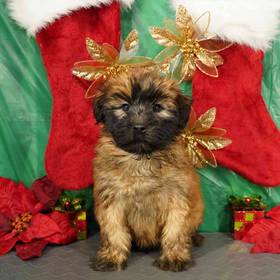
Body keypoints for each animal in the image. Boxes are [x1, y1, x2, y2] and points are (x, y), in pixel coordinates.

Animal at [92, 69, 203, 272]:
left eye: (157, 107)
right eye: (125, 106)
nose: (139, 127)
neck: (142, 157)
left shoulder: (177, 198)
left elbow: (175, 230)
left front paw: (174, 256)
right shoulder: (111, 198)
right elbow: (113, 230)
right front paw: (112, 257)